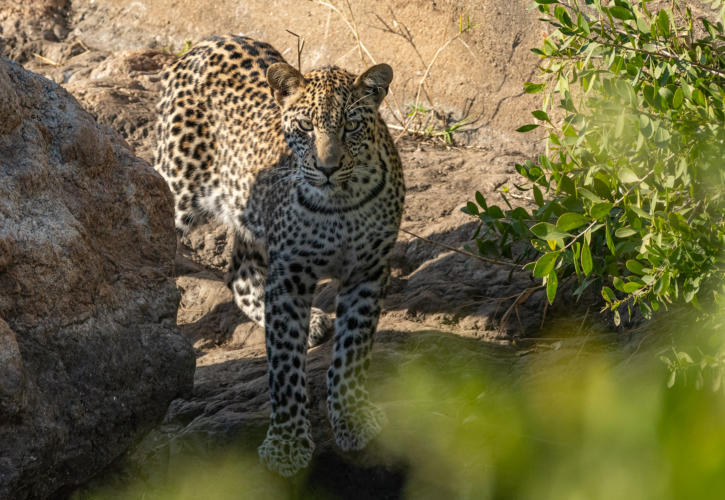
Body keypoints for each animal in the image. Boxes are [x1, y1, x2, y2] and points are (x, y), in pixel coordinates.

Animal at [153, 35, 405, 477]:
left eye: (351, 126)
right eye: (304, 127)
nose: (327, 167)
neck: (340, 202)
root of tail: (205, 42)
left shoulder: (368, 271)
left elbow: (354, 351)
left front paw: (352, 416)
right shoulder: (290, 273)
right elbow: (284, 365)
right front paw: (287, 443)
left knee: (238, 274)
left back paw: (314, 322)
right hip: (175, 189)